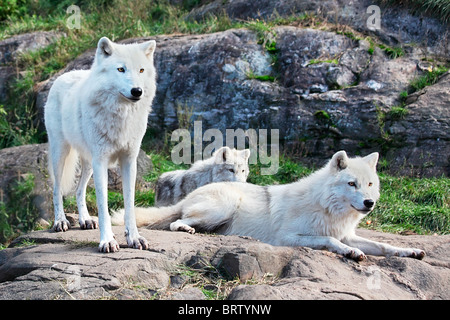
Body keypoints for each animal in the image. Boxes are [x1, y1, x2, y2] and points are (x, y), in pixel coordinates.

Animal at [44, 37, 156, 252]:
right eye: (120, 69)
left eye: (141, 70)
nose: (137, 91)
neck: (121, 115)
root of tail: (65, 74)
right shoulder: (101, 162)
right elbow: (103, 206)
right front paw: (108, 241)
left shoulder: (128, 161)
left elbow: (130, 204)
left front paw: (134, 238)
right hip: (61, 154)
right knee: (56, 190)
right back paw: (60, 221)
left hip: (89, 163)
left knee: (79, 190)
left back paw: (86, 220)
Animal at [117, 151, 426, 262]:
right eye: (352, 184)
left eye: (370, 184)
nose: (369, 203)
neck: (327, 208)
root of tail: (195, 190)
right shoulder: (288, 237)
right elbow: (329, 241)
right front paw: (351, 252)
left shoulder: (347, 233)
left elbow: (383, 246)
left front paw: (410, 251)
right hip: (223, 207)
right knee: (176, 221)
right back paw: (188, 229)